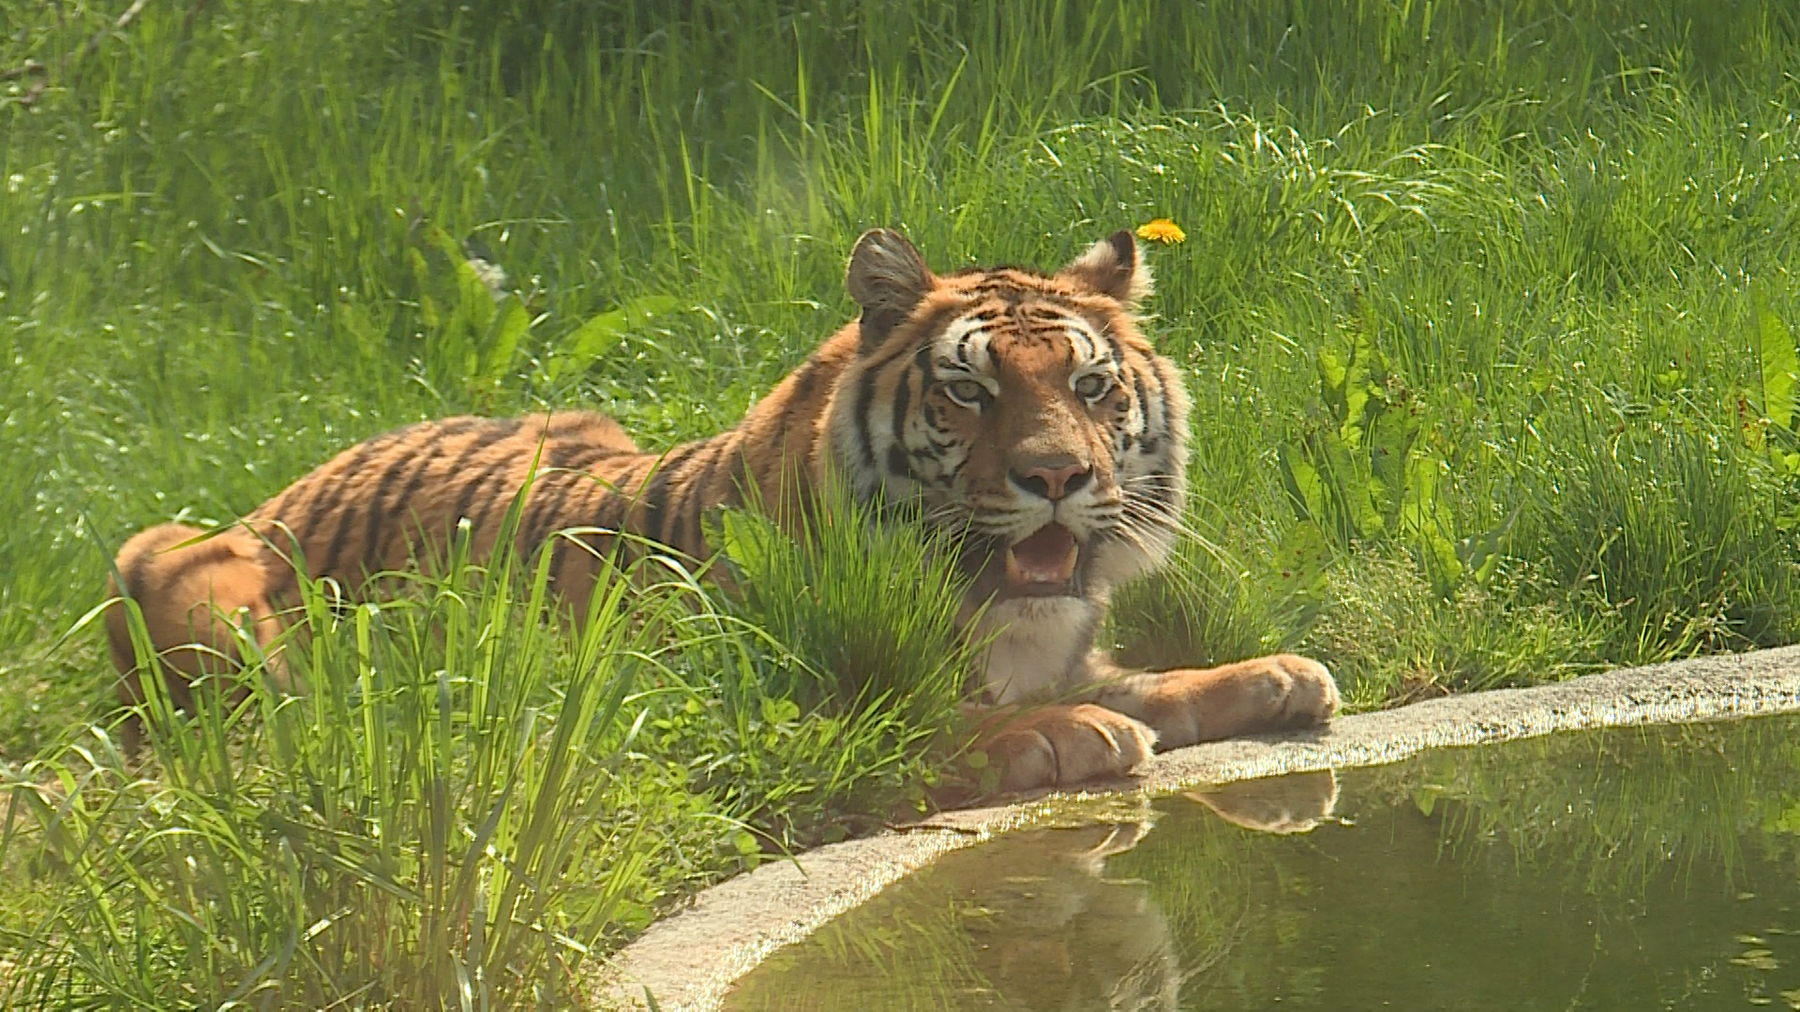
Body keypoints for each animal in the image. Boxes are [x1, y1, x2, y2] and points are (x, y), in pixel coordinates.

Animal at [98, 228, 1339, 788]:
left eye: (1089, 389)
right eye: (969, 391)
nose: (1057, 478)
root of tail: (294, 481)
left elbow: (1146, 677)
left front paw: (1276, 675)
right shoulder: (739, 710)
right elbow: (909, 714)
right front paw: (1065, 733)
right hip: (192, 572)